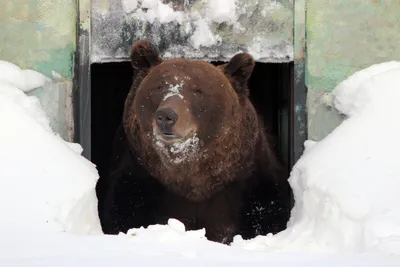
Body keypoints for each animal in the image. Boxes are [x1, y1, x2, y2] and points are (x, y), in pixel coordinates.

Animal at [95, 39, 292, 245]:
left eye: (198, 90)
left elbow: (265, 213)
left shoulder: (249, 180)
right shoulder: (136, 177)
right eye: (159, 87)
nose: (166, 116)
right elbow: (124, 212)